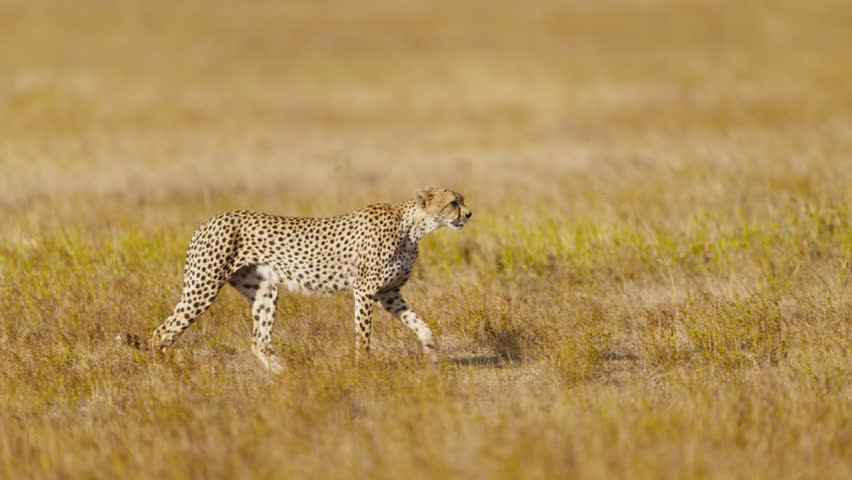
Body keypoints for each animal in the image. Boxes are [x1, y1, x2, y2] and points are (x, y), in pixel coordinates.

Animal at [120, 187, 472, 372]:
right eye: (453, 202)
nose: (468, 214)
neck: (414, 227)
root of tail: (209, 220)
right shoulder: (365, 290)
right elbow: (363, 334)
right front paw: (364, 367)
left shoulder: (389, 294)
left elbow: (419, 322)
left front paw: (431, 350)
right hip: (203, 288)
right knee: (163, 331)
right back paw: (164, 372)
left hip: (264, 290)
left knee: (259, 341)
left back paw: (283, 375)